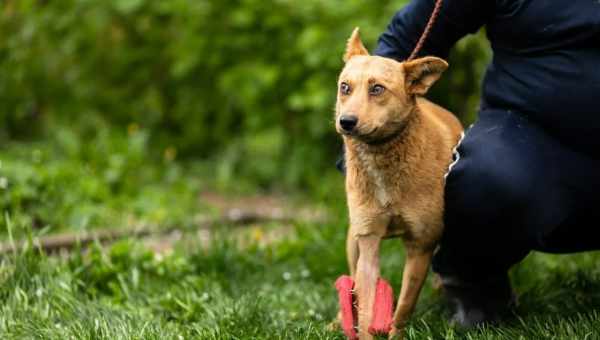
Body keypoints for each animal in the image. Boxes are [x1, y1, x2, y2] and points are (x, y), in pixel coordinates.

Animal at [336, 27, 462, 338]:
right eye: (345, 87)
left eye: (377, 89)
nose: (346, 121)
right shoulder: (368, 242)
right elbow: (366, 305)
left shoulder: (421, 245)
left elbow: (404, 305)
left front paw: (397, 332)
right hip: (353, 240)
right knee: (352, 284)